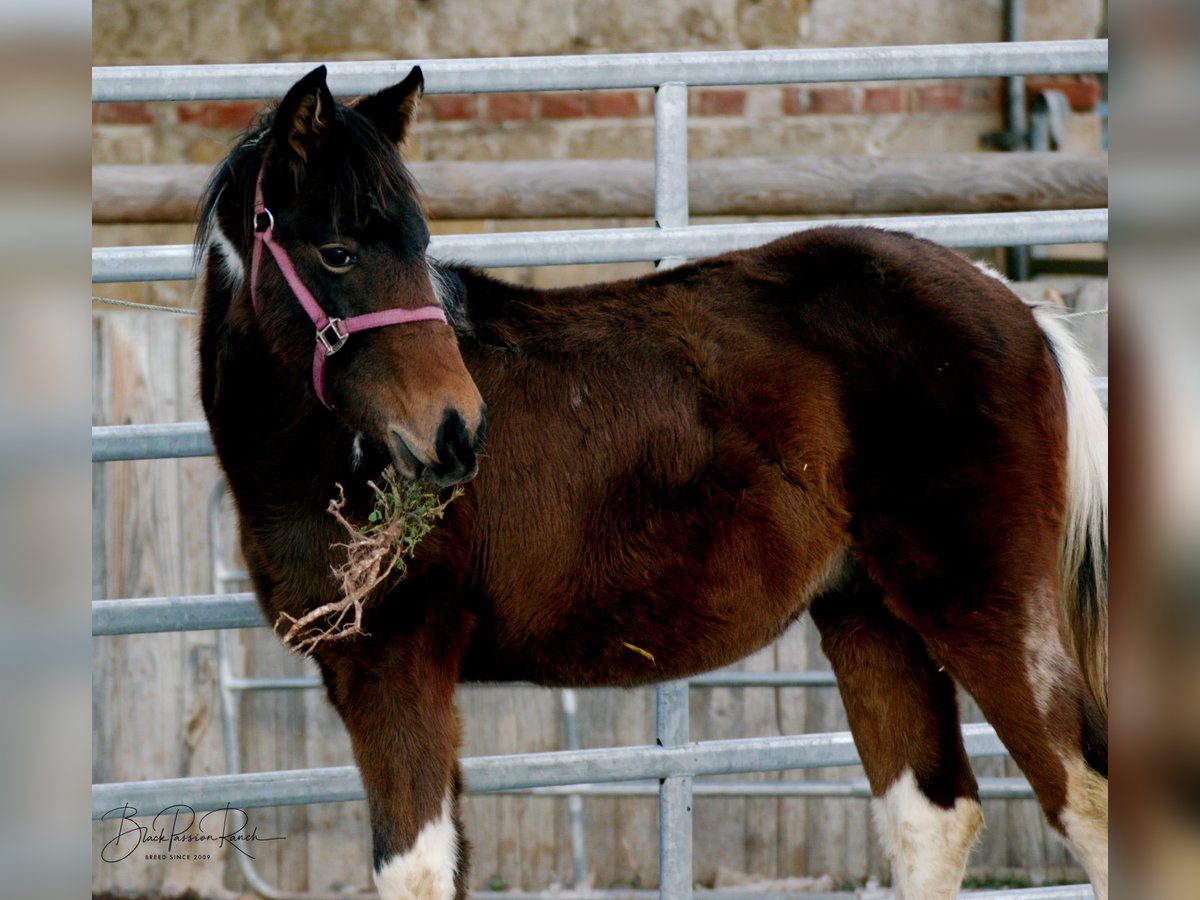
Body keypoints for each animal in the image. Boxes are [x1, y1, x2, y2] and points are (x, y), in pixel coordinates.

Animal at [196, 65, 1108, 900]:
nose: (457, 432)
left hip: (984, 610)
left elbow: (413, 872)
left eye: (416, 247)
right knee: (932, 820)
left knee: (1085, 801)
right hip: (870, 615)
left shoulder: (397, 664)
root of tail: (1021, 311)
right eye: (338, 252)